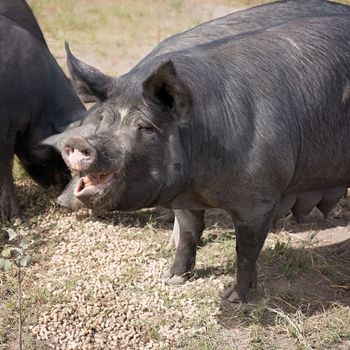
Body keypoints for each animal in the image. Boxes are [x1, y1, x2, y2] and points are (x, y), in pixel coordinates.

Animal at [47, 4, 350, 300]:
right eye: (103, 120)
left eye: (145, 127)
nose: (79, 143)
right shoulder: (184, 196)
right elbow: (189, 233)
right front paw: (172, 278)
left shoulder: (259, 198)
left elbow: (246, 248)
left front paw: (234, 298)